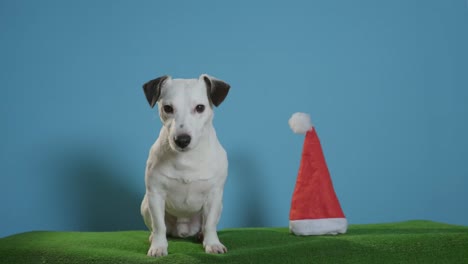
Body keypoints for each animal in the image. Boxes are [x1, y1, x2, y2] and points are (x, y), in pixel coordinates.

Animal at [142, 73, 231, 256]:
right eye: (168, 108)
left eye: (200, 107)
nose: (182, 140)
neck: (186, 158)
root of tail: (183, 231)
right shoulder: (155, 194)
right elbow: (159, 225)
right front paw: (158, 246)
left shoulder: (214, 196)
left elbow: (210, 224)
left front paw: (213, 244)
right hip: (145, 205)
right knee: (158, 227)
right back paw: (153, 237)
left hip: (218, 207)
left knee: (204, 225)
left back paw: (201, 235)